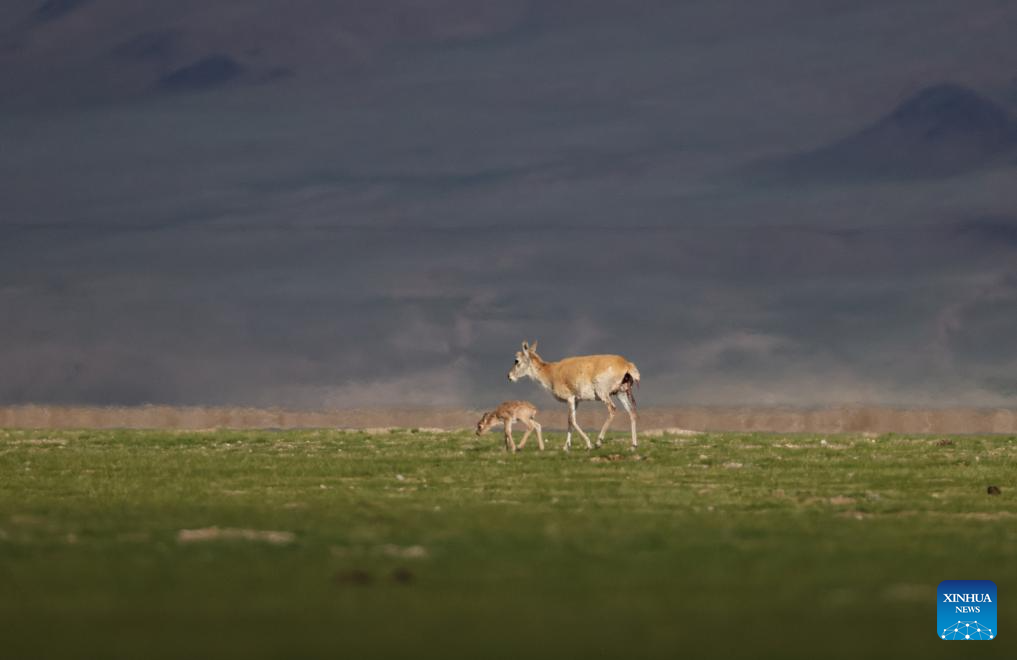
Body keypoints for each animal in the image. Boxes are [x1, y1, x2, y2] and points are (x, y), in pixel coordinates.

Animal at [506, 339, 638, 453]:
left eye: (516, 360)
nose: (509, 376)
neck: (552, 372)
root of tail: (626, 364)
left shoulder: (569, 399)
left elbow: (572, 420)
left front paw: (588, 444)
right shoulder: (576, 400)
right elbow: (569, 421)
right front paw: (566, 447)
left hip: (604, 394)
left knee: (613, 409)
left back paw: (598, 442)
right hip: (621, 393)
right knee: (632, 412)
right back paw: (633, 445)